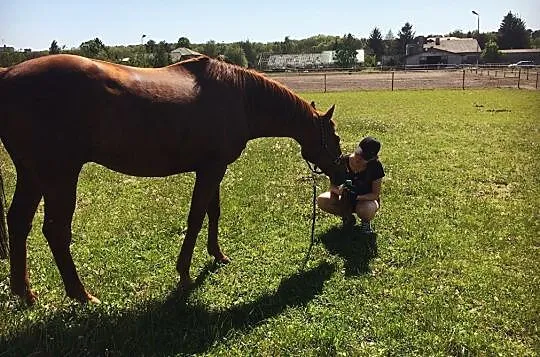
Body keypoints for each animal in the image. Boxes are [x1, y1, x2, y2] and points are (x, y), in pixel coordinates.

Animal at [0, 53, 346, 304]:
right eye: (336, 137)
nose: (342, 175)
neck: (241, 98)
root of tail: (7, 74)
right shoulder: (211, 170)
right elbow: (196, 217)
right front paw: (184, 274)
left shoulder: (213, 168)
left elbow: (212, 212)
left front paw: (217, 255)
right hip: (60, 176)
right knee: (55, 232)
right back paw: (81, 295)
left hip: (32, 175)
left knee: (18, 222)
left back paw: (25, 292)